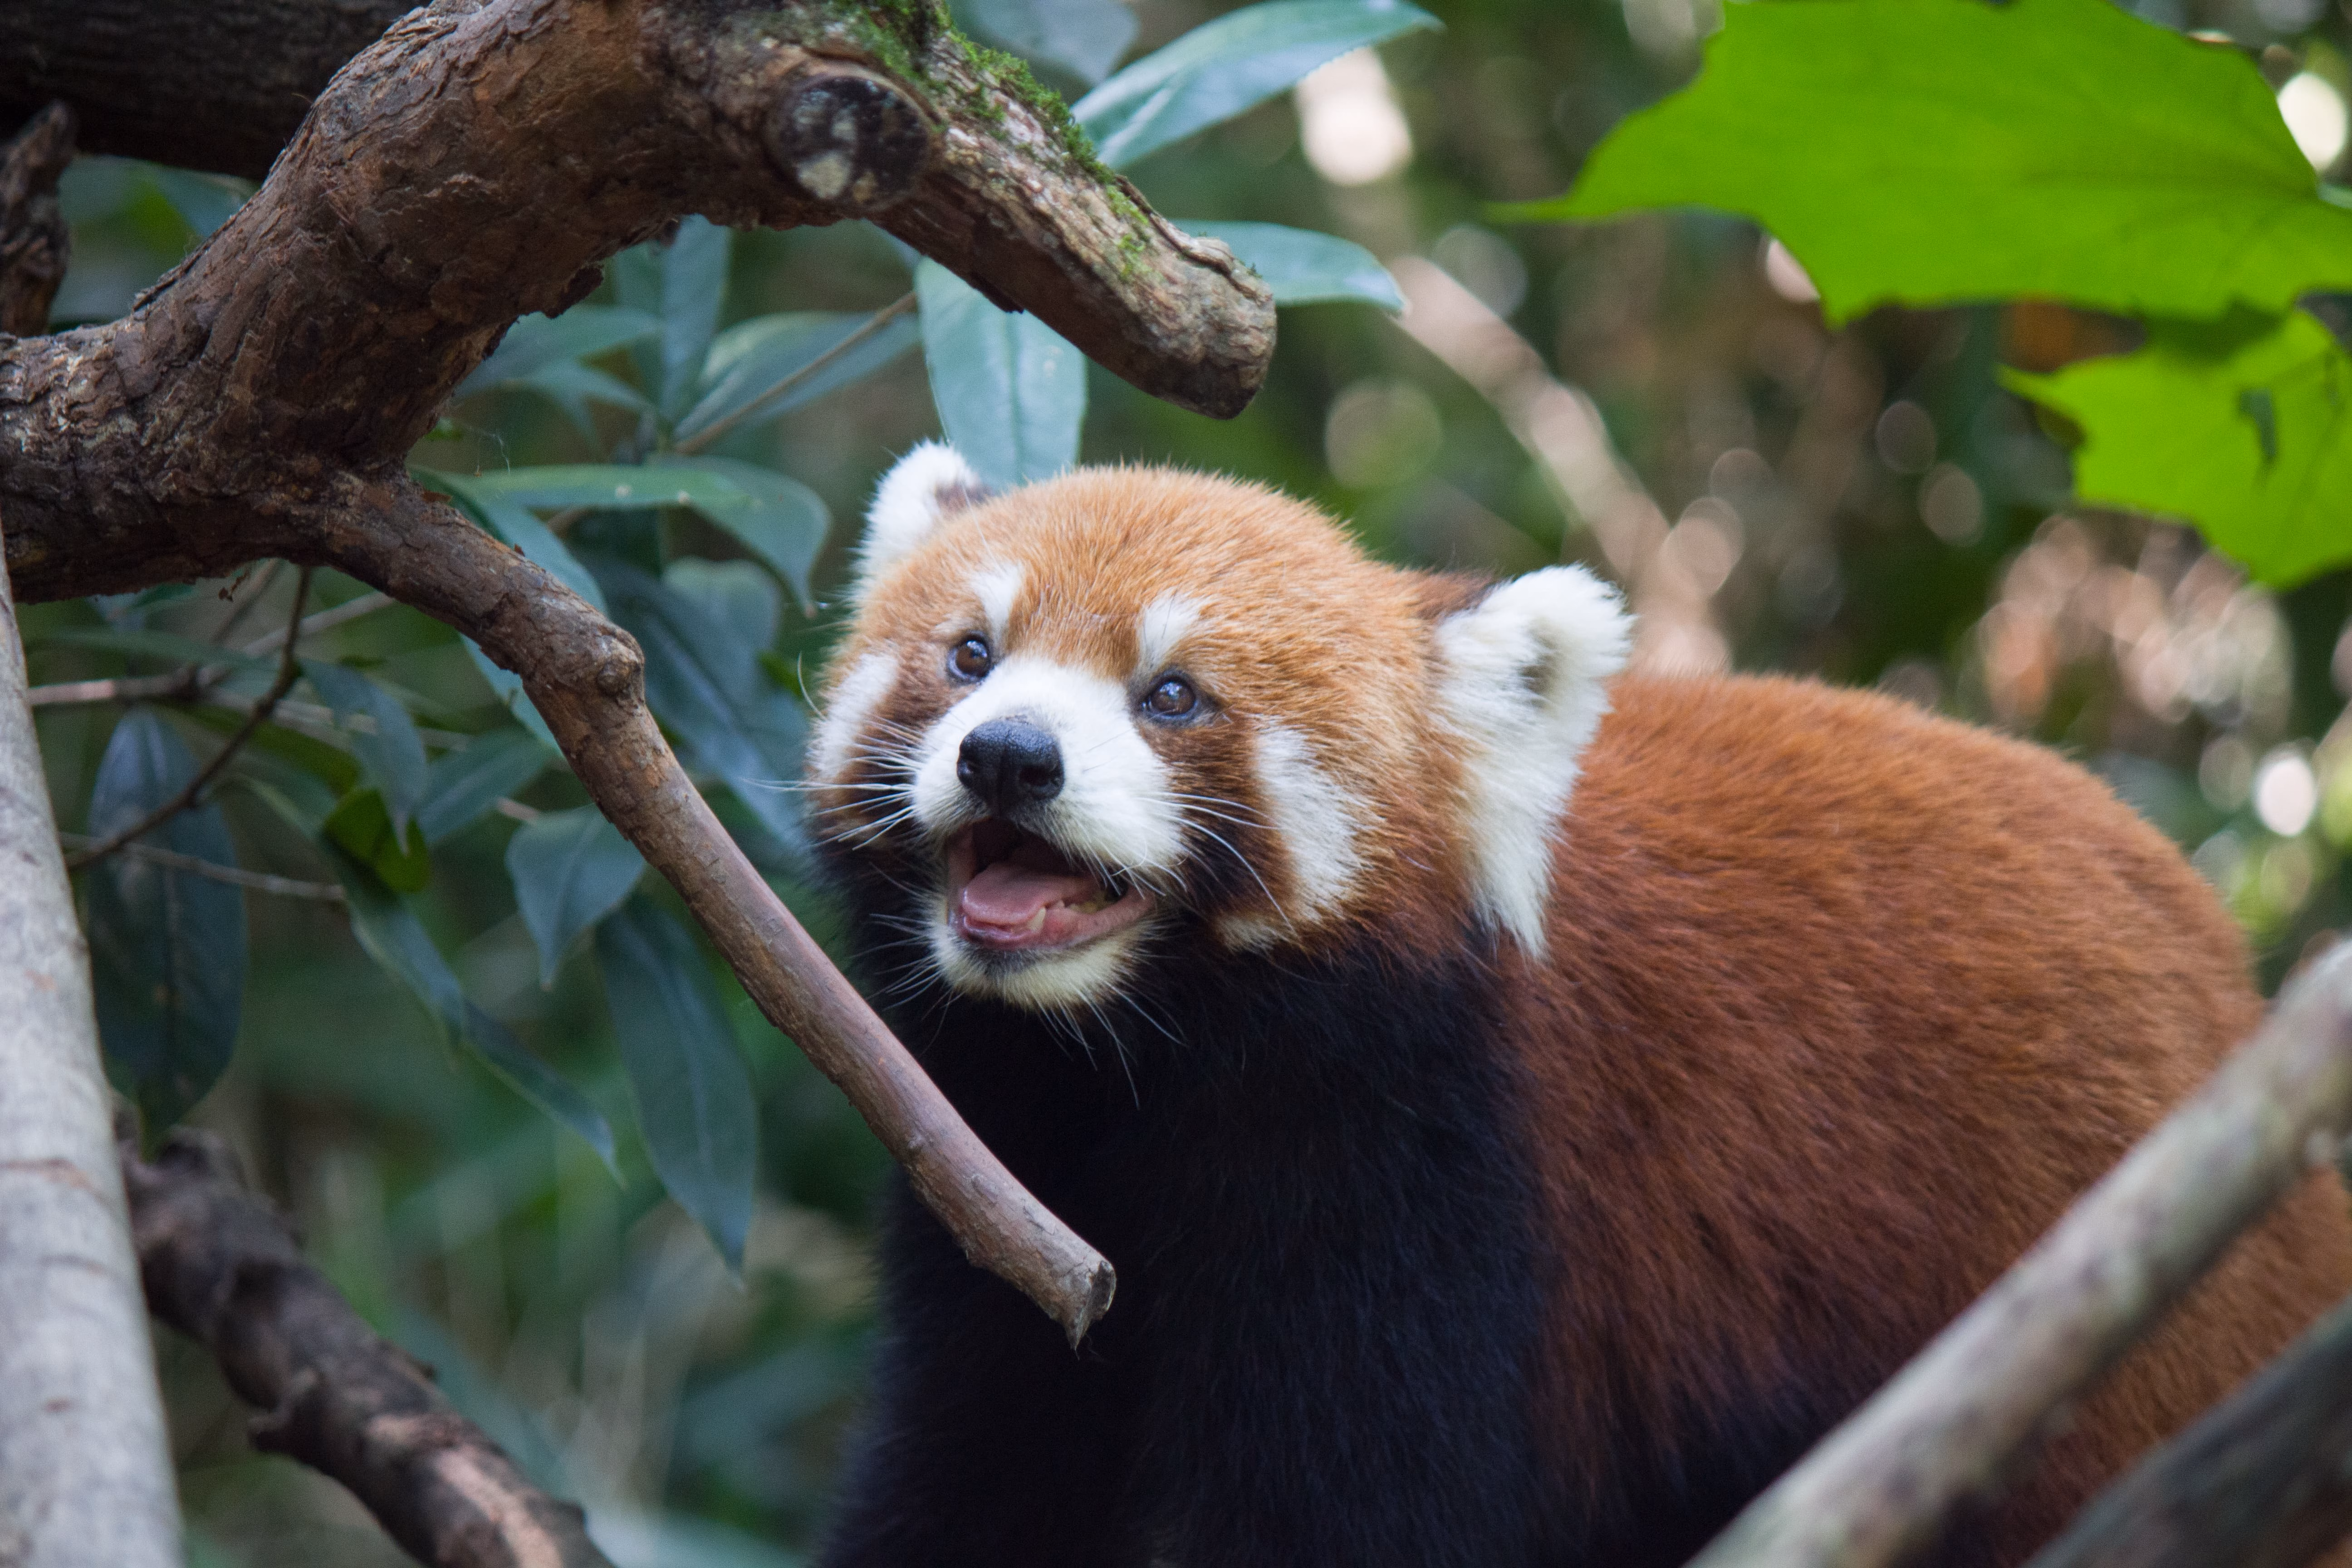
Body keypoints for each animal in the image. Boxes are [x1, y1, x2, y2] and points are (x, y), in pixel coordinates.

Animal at [801, 443, 2352, 1567]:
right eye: (971, 655)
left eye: (1173, 695)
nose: (1010, 757)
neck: (1131, 1067)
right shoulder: (1003, 1189)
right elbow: (987, 1460)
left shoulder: (1435, 1188)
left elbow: (1356, 1514)